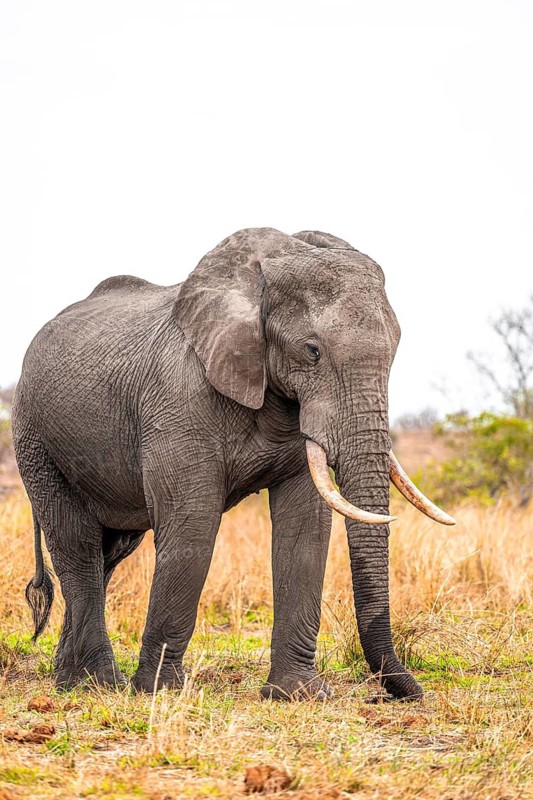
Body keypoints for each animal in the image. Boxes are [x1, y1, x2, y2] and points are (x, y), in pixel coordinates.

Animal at [12, 227, 454, 700]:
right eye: (312, 351)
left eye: (394, 352)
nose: (409, 691)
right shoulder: (178, 401)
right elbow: (193, 524)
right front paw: (159, 692)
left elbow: (305, 530)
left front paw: (297, 694)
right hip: (35, 437)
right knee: (77, 545)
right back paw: (98, 683)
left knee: (107, 553)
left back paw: (70, 681)